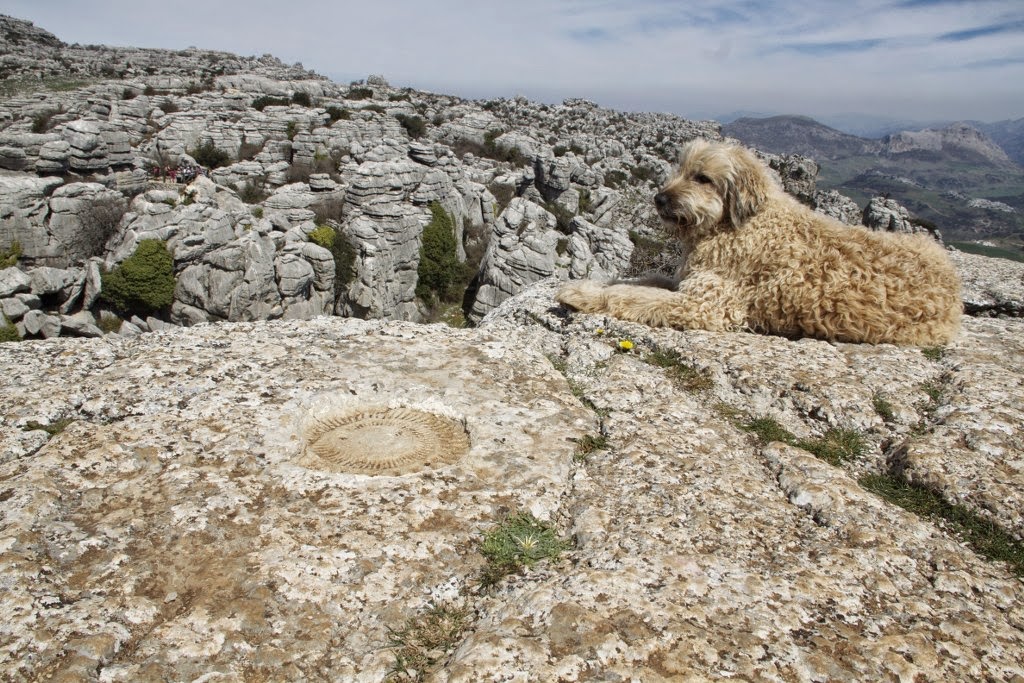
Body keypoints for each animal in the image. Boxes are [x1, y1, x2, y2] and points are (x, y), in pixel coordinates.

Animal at [557, 139, 962, 344]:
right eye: (680, 170)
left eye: (702, 177)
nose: (659, 198)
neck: (733, 224)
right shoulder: (684, 280)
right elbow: (637, 281)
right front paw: (593, 285)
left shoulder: (706, 304)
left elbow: (633, 296)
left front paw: (582, 295)